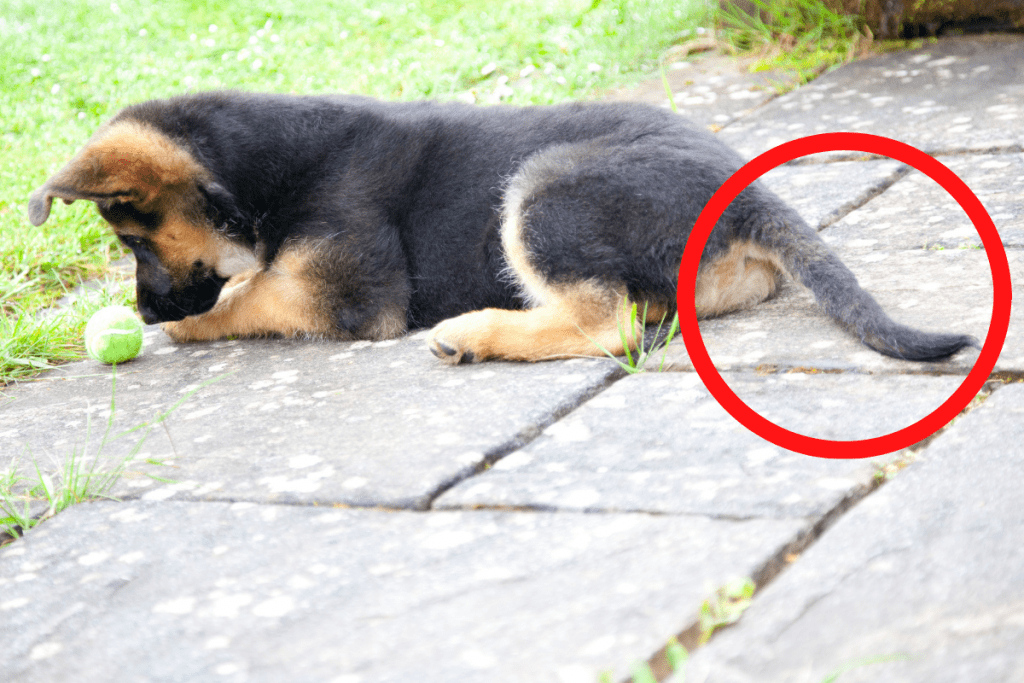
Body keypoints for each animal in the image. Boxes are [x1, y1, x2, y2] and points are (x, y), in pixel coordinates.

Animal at [28, 93, 970, 366]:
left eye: (132, 241)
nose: (142, 315)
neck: (268, 168)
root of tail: (742, 193)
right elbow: (249, 283)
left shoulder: (348, 295)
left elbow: (247, 296)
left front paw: (184, 327)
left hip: (540, 190)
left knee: (610, 324)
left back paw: (475, 332)